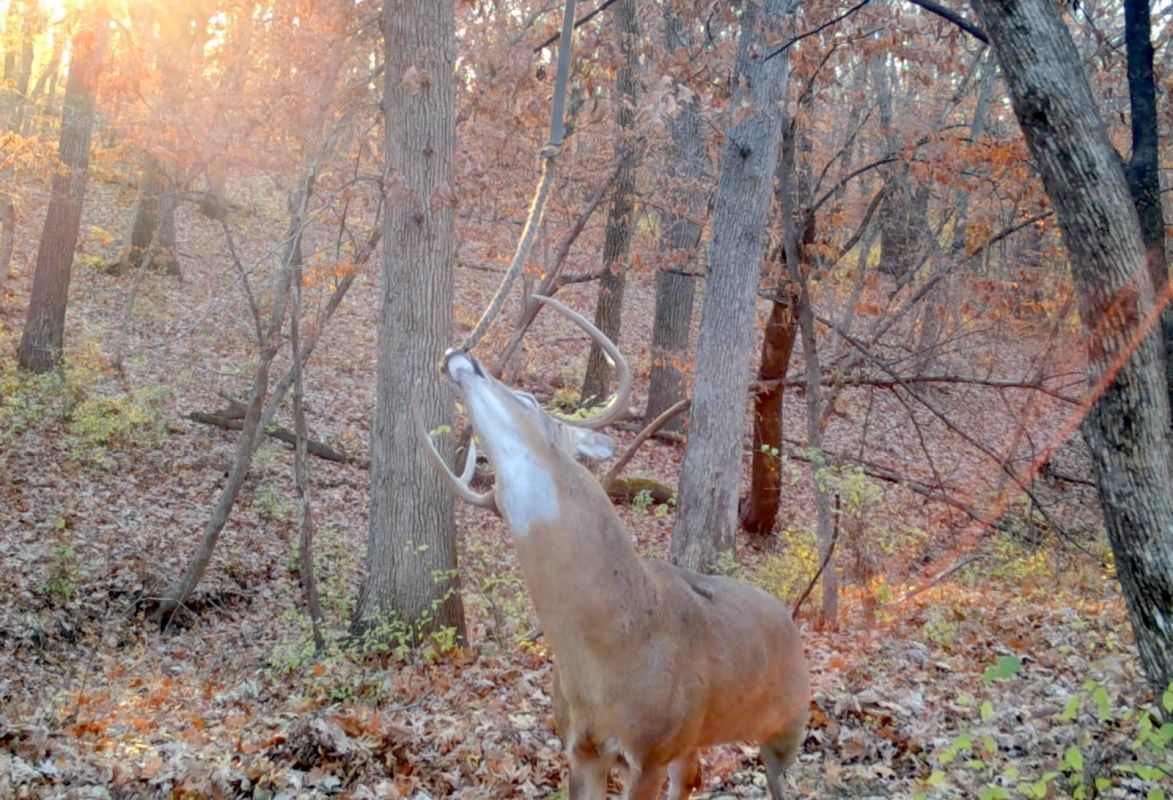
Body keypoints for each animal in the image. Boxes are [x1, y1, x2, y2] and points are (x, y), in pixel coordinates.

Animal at [414, 295, 810, 799]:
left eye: (528, 400)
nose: (459, 356)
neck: (621, 643)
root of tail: (791, 620)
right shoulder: (580, 747)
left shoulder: (651, 750)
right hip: (695, 741)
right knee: (692, 777)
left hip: (788, 728)